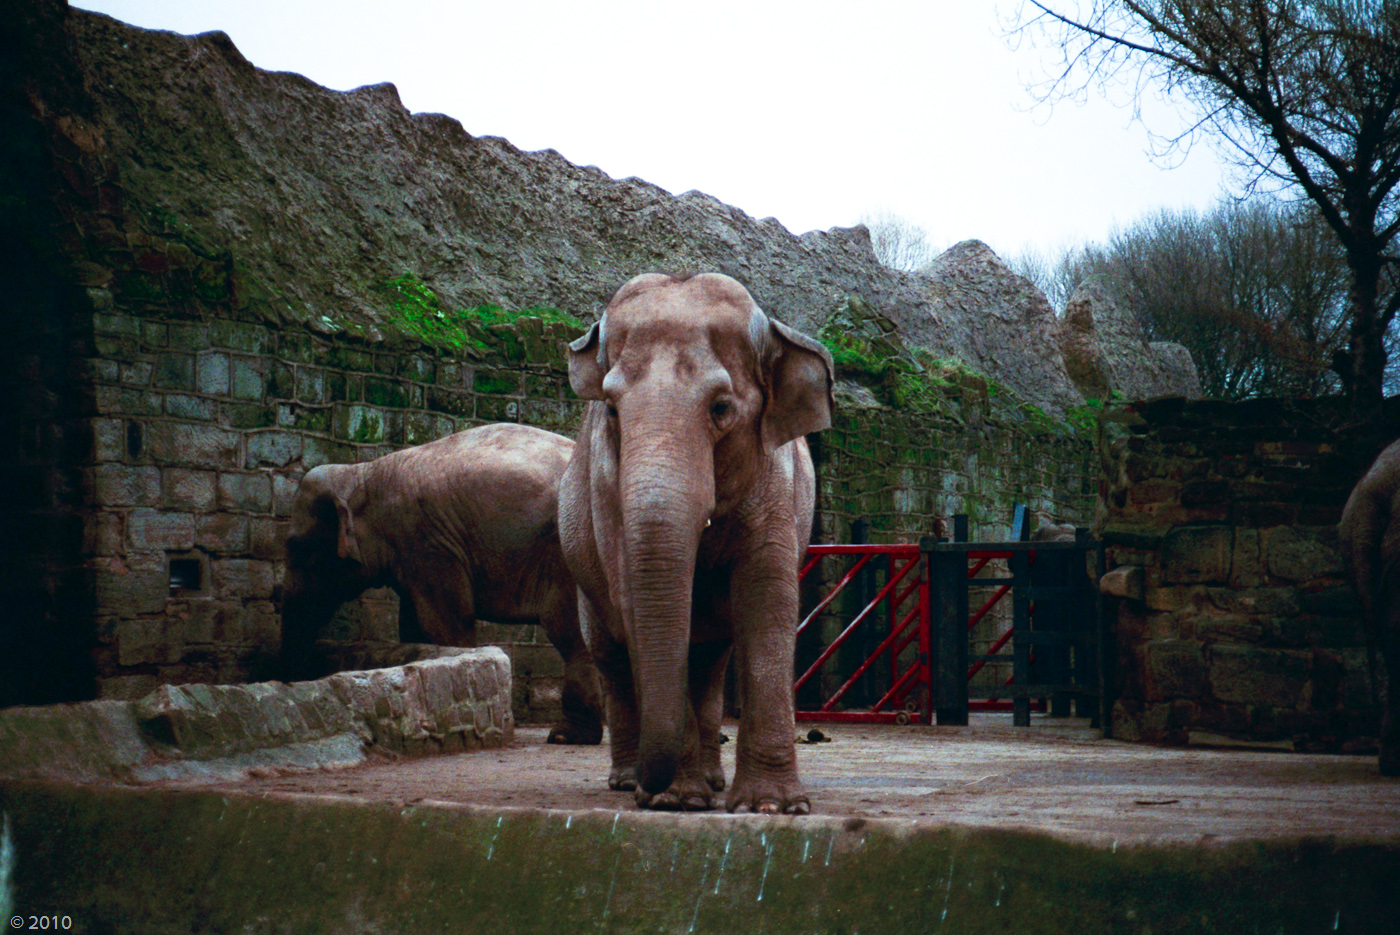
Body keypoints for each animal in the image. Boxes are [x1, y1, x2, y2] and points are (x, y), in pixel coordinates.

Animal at [281, 422, 604, 745]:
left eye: (301, 551)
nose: (291, 681)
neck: (363, 473)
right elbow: (412, 627)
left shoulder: (429, 543)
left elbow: (443, 624)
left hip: (569, 551)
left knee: (569, 631)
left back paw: (567, 736)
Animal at [558, 272, 834, 813]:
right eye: (612, 411)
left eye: (721, 408)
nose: (650, 786)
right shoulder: (607, 496)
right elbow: (633, 604)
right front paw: (675, 801)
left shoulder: (775, 482)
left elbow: (767, 601)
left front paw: (772, 807)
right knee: (611, 652)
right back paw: (630, 779)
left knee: (711, 657)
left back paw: (711, 781)